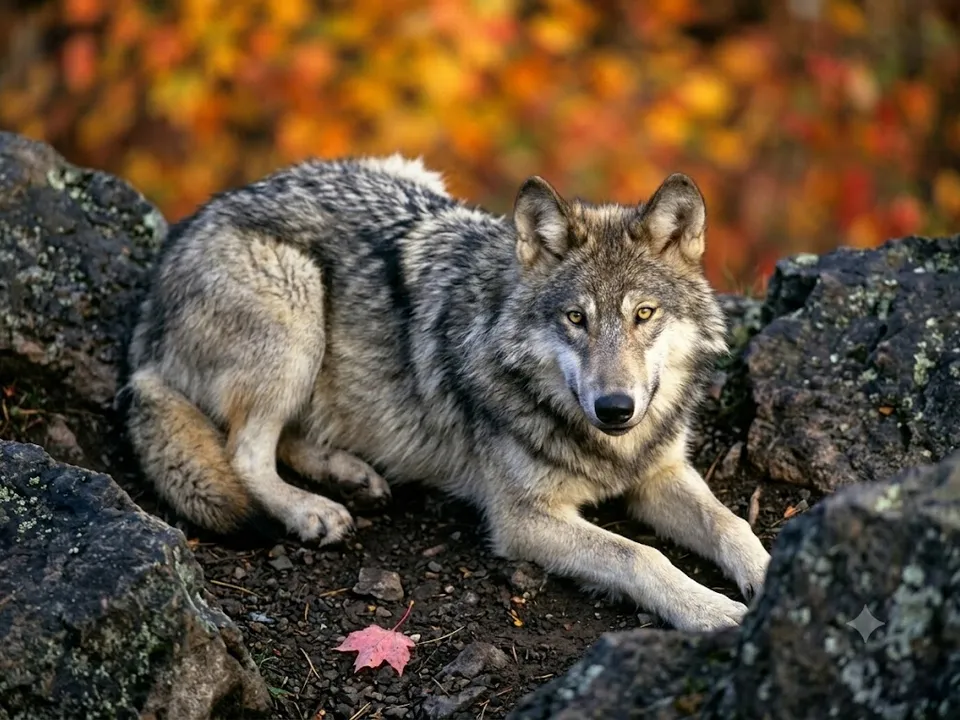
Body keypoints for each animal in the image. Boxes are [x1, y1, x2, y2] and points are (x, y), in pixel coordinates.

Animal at [119, 153, 771, 631]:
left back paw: (351, 476)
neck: (607, 448)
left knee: (287, 440)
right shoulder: (522, 521)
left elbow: (730, 525)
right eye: (576, 319)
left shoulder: (659, 471)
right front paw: (711, 610)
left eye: (644, 314)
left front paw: (772, 571)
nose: (615, 408)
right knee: (244, 453)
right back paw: (313, 511)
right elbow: (642, 555)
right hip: (297, 308)